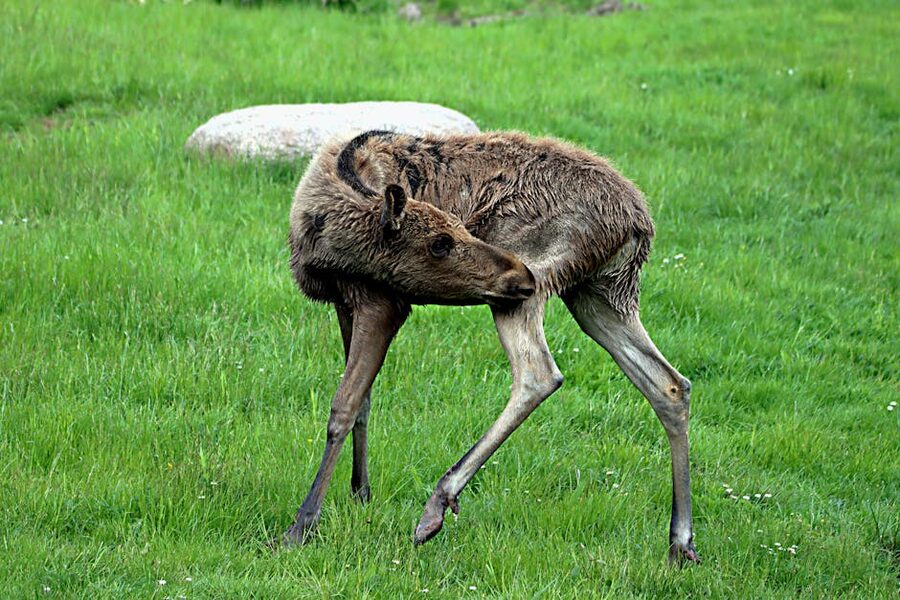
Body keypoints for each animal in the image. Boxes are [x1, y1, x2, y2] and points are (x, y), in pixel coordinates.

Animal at [284, 129, 700, 564]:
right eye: (439, 243)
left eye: (455, 229)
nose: (520, 271)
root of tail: (639, 222)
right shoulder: (345, 301)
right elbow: (364, 401)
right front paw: (360, 494)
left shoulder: (384, 301)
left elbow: (343, 407)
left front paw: (302, 524)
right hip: (599, 294)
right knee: (670, 384)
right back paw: (680, 541)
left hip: (530, 285)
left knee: (539, 375)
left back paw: (436, 505)